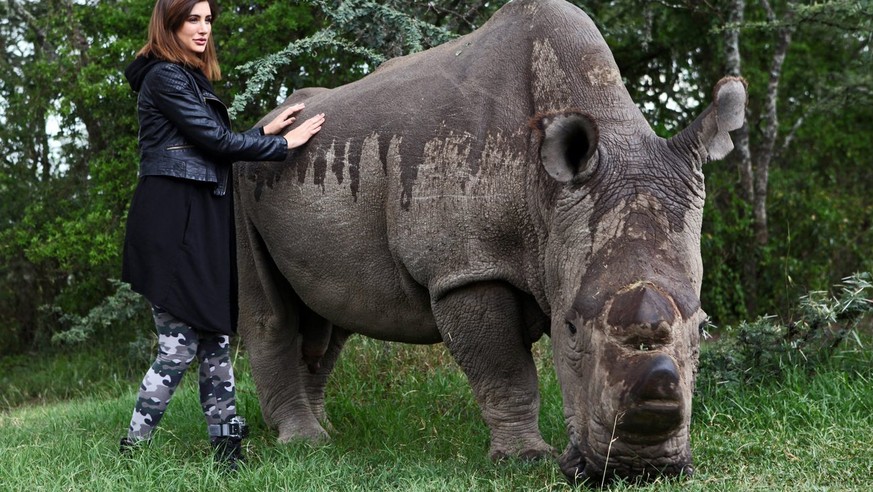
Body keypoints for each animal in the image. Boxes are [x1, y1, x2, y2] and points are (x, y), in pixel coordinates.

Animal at [235, 0, 744, 484]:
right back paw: (303, 443)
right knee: (270, 314)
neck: (545, 195)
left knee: (332, 313)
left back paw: (327, 435)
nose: (639, 469)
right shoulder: (465, 268)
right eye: (570, 328)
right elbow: (505, 368)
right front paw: (525, 459)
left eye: (703, 328)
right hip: (242, 178)